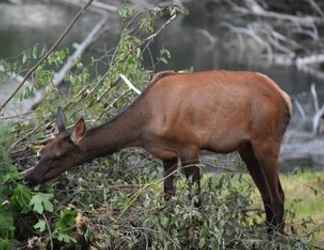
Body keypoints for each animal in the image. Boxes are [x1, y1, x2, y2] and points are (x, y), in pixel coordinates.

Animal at [23, 70, 292, 232]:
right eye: (41, 151)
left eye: (58, 156)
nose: (29, 178)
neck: (145, 125)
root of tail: (286, 98)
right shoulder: (168, 155)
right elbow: (168, 199)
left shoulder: (189, 146)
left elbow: (195, 201)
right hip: (247, 146)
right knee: (267, 194)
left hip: (266, 140)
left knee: (278, 195)